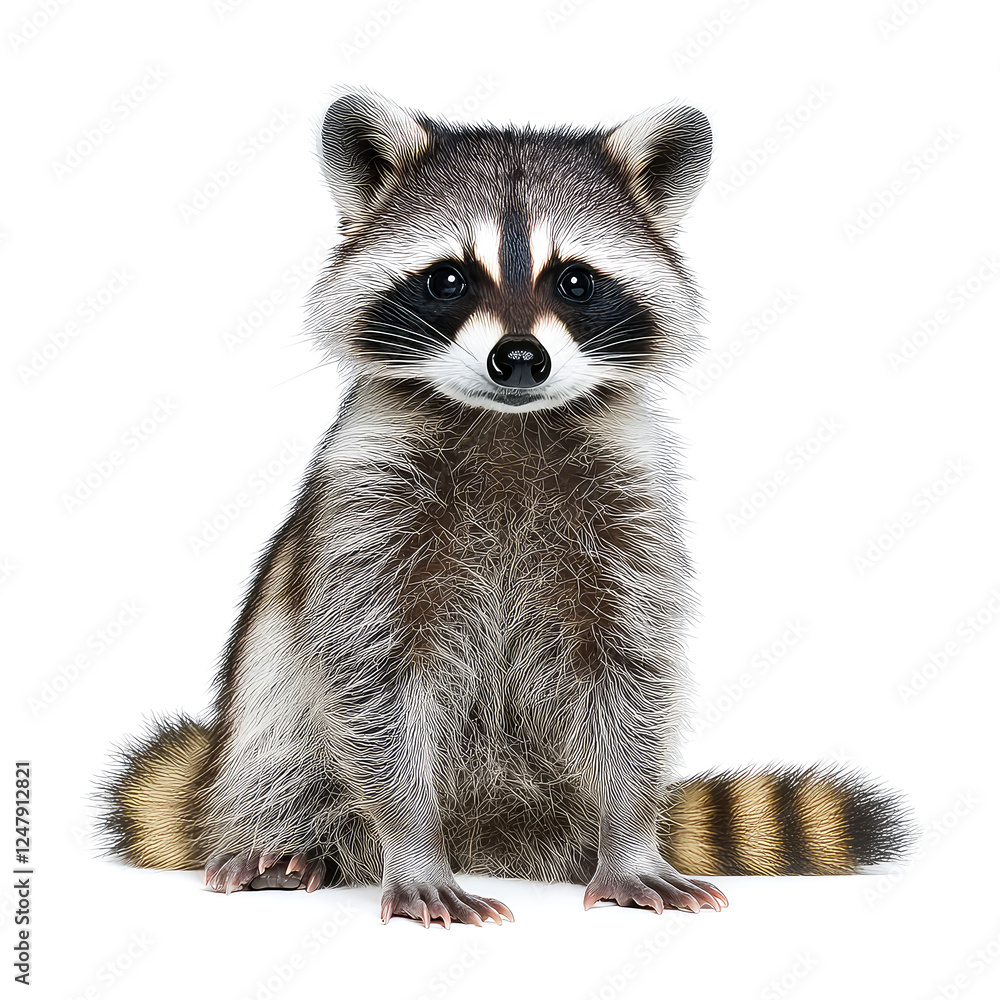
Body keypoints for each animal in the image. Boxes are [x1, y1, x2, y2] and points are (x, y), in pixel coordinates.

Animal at [98, 89, 912, 927]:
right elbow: (373, 671)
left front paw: (631, 834)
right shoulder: (371, 492)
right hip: (264, 736)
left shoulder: (630, 497)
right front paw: (412, 843)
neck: (507, 421)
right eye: (449, 279)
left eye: (575, 281)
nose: (520, 358)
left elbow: (629, 666)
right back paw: (293, 841)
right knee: (282, 754)